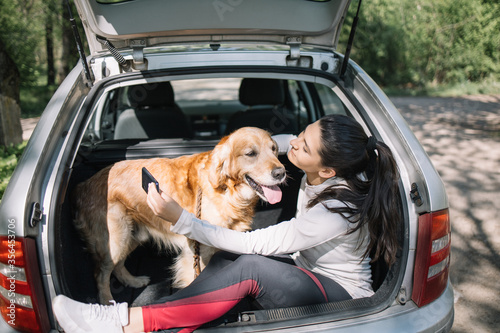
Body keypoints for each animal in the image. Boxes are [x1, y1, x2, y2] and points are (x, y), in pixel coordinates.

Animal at [72, 127, 288, 304]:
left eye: (274, 149)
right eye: (251, 153)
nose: (281, 172)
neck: (228, 190)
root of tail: (83, 185)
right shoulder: (197, 252)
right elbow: (197, 284)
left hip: (133, 235)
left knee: (117, 266)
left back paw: (133, 281)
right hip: (116, 239)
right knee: (101, 274)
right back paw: (107, 301)